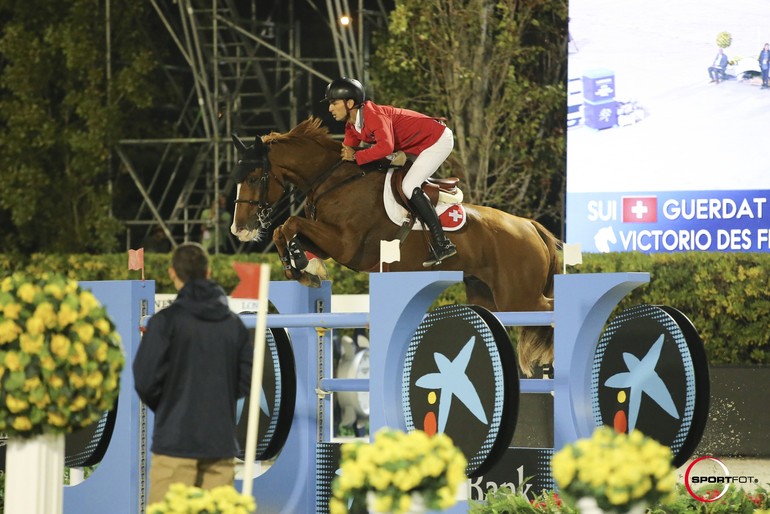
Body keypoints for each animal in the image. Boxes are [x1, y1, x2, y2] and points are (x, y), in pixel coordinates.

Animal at [228, 117, 560, 372]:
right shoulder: (330, 241)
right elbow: (283, 230)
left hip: (518, 297)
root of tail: (529, 225)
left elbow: (290, 224)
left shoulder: (345, 245)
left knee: (548, 308)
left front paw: (301, 265)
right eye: (237, 178)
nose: (239, 230)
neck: (332, 181)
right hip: (485, 295)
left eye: (255, 177)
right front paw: (301, 266)